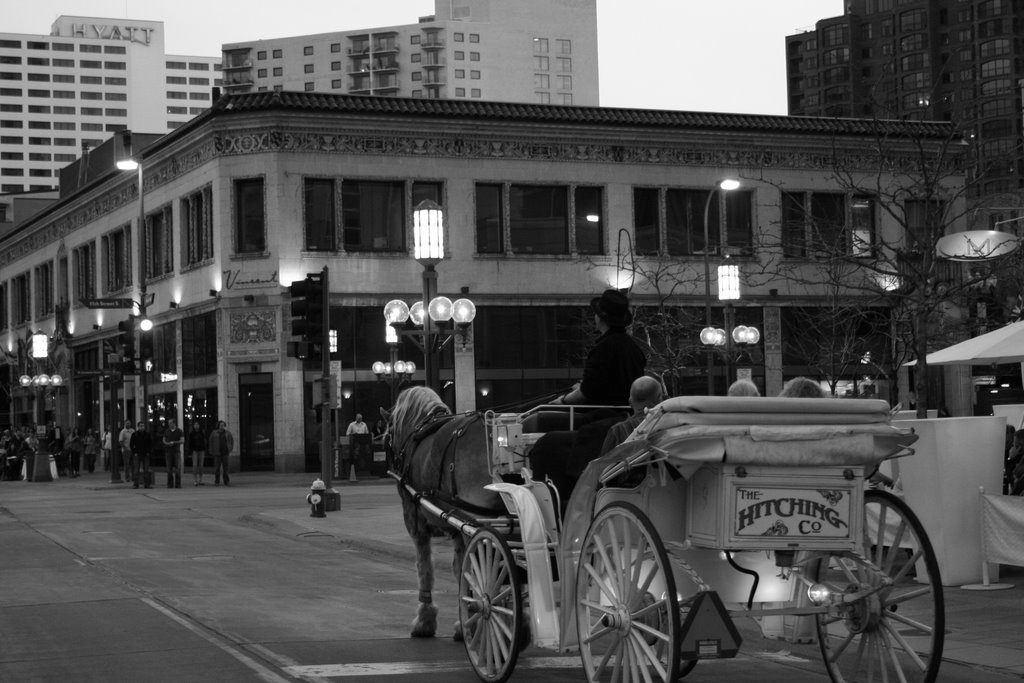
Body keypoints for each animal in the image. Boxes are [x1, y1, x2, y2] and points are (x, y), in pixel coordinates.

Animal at [382, 389, 501, 643]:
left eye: (388, 436)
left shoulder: (416, 522)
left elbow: (425, 567)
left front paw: (425, 620)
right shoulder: (456, 527)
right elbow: (459, 569)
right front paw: (463, 621)